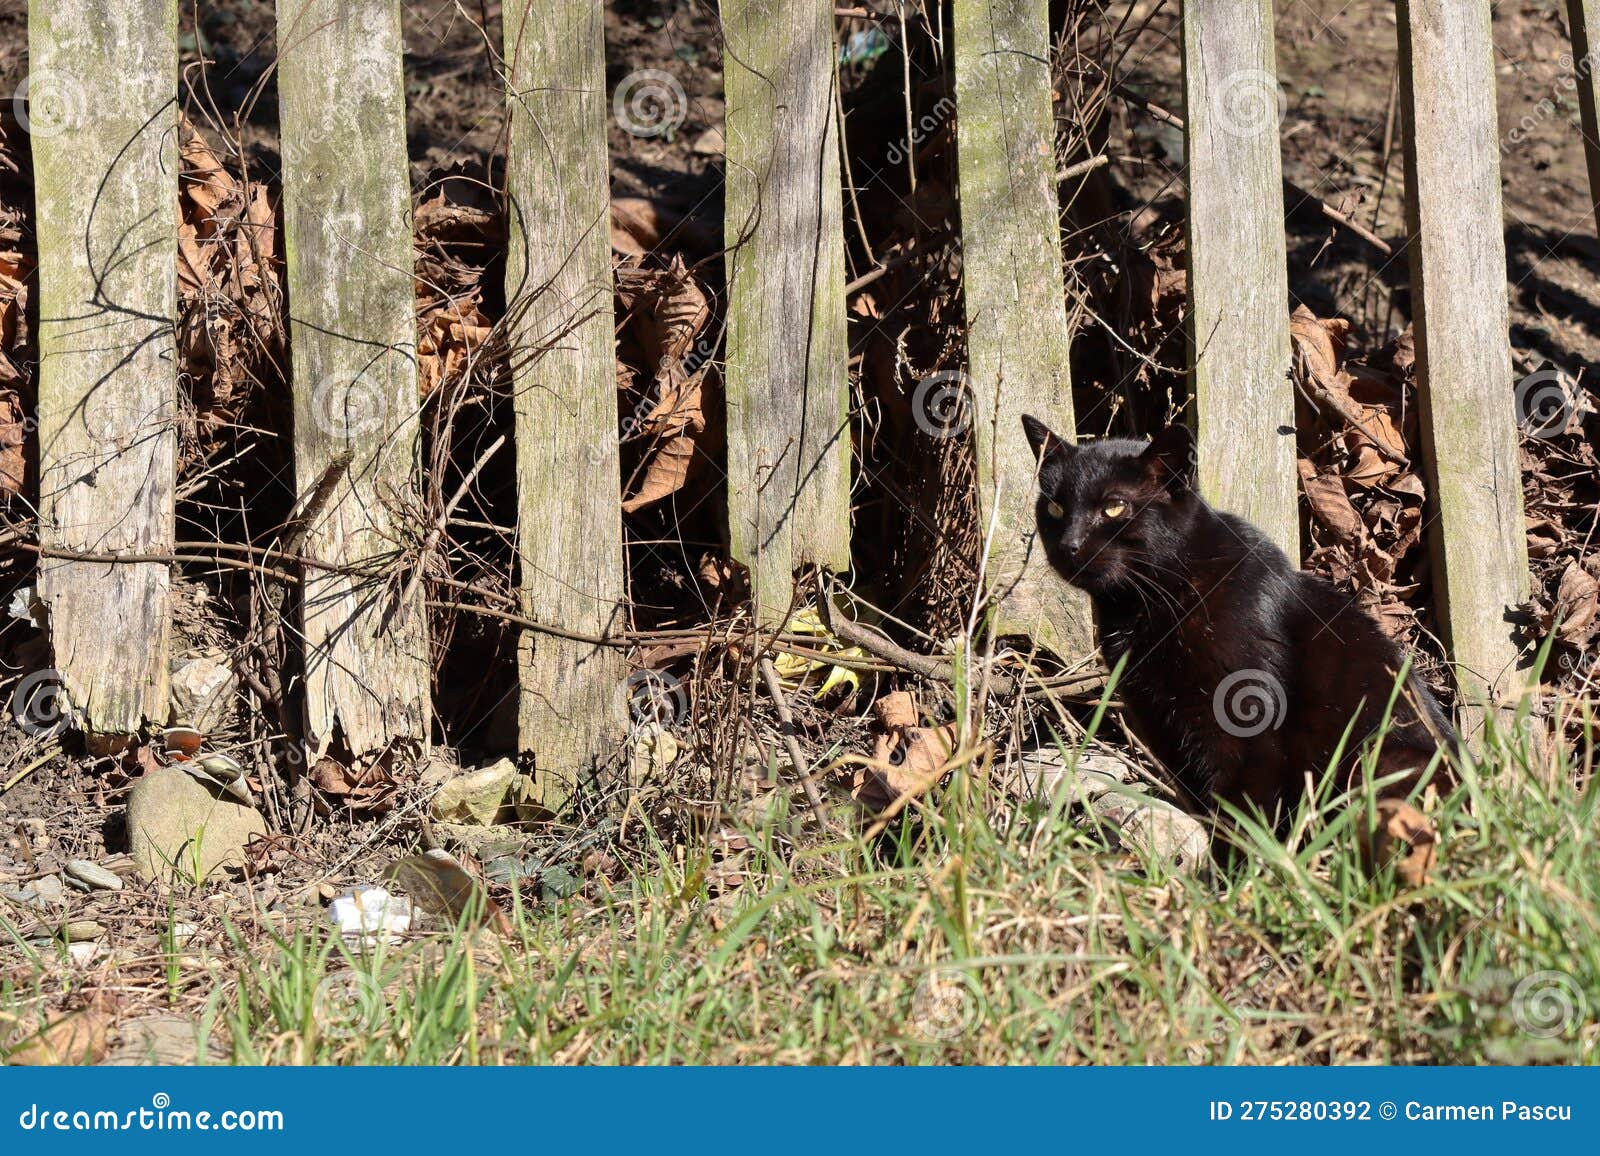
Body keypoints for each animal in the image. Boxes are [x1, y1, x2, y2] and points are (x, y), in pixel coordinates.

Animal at [1017, 413, 1459, 819]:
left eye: (1113, 507)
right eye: (1055, 506)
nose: (1069, 545)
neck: (1153, 602)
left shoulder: (1244, 725)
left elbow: (1243, 812)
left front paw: (1243, 858)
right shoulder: (1162, 727)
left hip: (1382, 764)